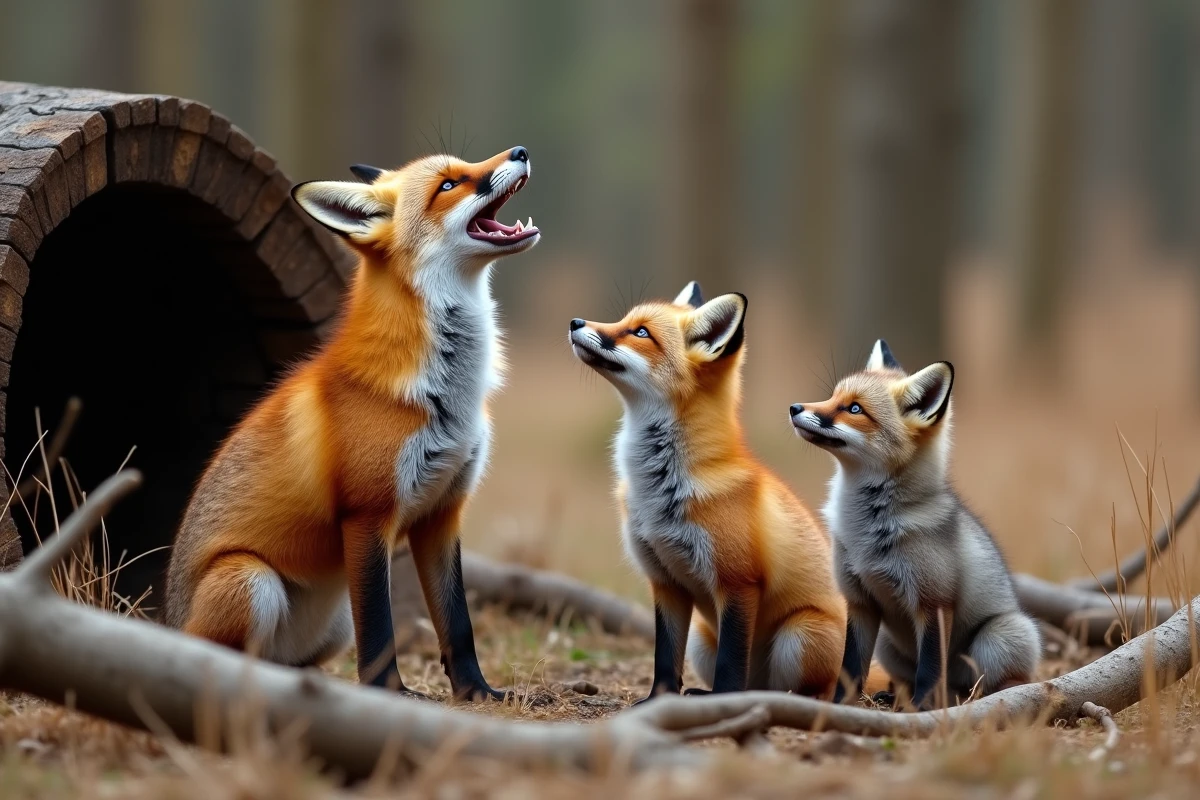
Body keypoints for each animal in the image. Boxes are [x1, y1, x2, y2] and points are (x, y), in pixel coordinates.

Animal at [162, 146, 541, 701]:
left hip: (330, 622)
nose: (520, 151)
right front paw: (389, 693)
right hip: (250, 579)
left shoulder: (442, 512)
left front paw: (475, 692)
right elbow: (380, 629)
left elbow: (458, 624)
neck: (446, 397)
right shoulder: (367, 515)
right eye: (448, 185)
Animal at [570, 282, 847, 702]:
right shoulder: (665, 580)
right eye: (623, 321)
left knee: (807, 691)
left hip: (799, 635)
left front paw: (722, 700)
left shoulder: (738, 582)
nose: (575, 322)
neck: (663, 488)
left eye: (640, 332)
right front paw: (658, 700)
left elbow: (731, 661)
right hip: (704, 639)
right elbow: (665, 654)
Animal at [789, 339, 1040, 709]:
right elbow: (851, 668)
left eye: (854, 409)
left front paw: (922, 710)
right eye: (833, 397)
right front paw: (839, 707)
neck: (869, 530)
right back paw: (893, 698)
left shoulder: (934, 603)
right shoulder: (860, 601)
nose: (794, 407)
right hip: (888, 645)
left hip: (997, 638)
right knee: (908, 680)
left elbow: (930, 668)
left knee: (994, 682)